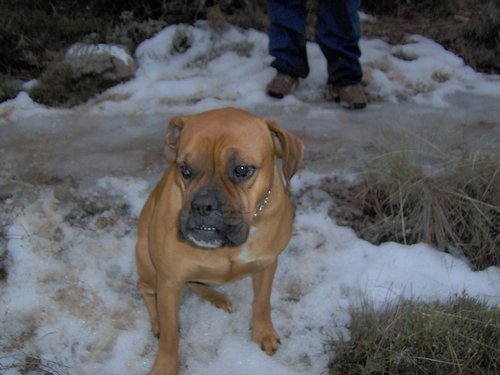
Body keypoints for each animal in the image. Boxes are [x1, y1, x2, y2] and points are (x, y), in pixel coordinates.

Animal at [135, 107, 302, 374]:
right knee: (146, 289)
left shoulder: (267, 264)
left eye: (242, 170)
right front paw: (164, 366)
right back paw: (157, 320)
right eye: (185, 170)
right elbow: (171, 336)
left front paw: (263, 331)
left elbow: (262, 301)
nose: (202, 205)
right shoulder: (169, 279)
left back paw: (216, 297)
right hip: (148, 263)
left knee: (195, 283)